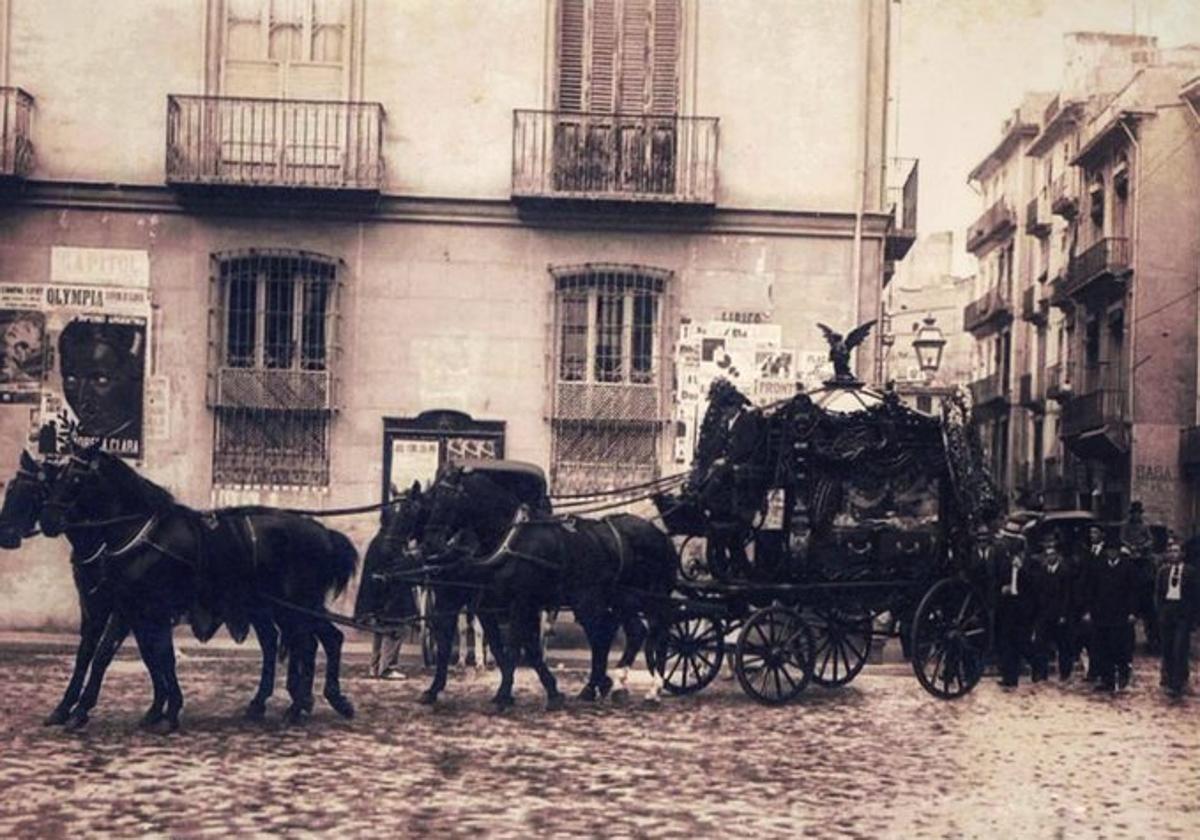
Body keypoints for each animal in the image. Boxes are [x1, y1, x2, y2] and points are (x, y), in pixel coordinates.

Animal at [35, 446, 357, 729]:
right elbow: (147, 657)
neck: (141, 536)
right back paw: (287, 702)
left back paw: (306, 703)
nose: (47, 519)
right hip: (283, 607)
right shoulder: (126, 612)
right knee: (303, 641)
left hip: (295, 605)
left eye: (77, 479)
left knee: (314, 642)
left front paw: (85, 710)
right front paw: (158, 709)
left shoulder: (131, 609)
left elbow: (115, 654)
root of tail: (323, 532)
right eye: (57, 477)